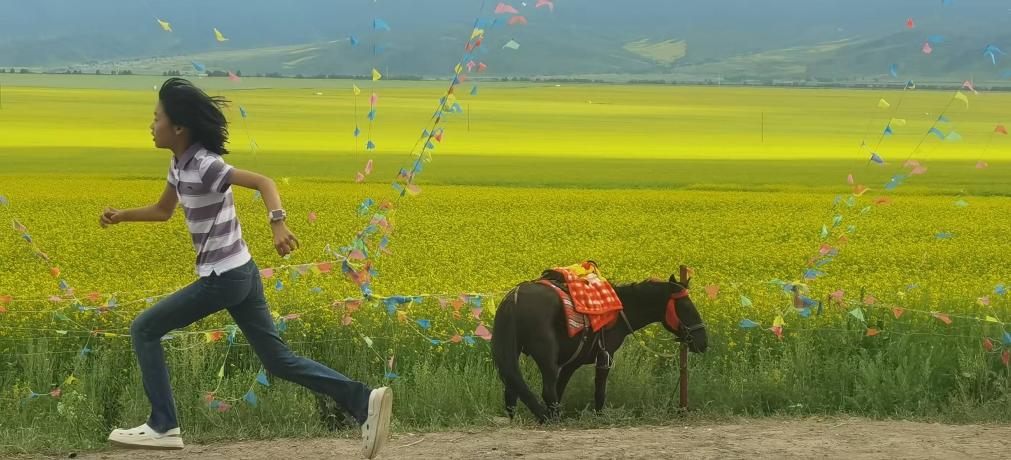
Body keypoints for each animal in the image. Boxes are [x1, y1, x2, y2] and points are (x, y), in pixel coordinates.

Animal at [491, 265, 707, 422]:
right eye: (686, 306)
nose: (703, 342)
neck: (620, 310)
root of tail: (514, 298)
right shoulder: (605, 356)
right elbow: (599, 391)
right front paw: (599, 416)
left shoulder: (571, 362)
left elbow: (561, 389)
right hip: (546, 356)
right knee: (544, 391)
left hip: (513, 353)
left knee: (512, 391)